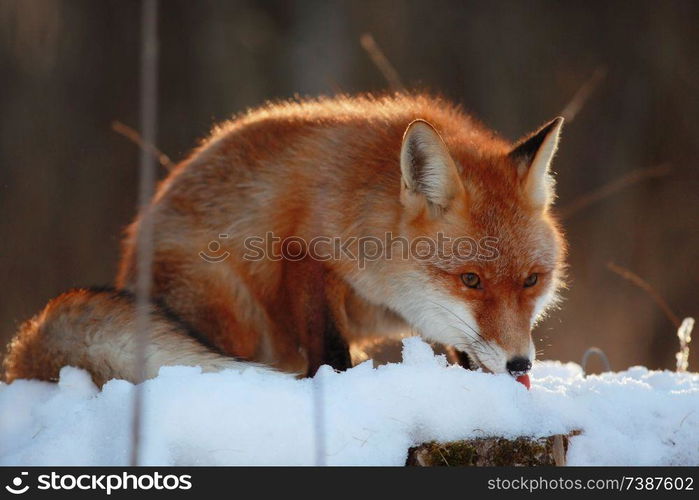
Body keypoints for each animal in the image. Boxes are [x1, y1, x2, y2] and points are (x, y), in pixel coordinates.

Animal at [2, 95, 568, 388]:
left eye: (531, 281)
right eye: (470, 280)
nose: (521, 365)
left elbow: (461, 348)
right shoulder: (303, 254)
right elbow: (331, 354)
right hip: (232, 308)